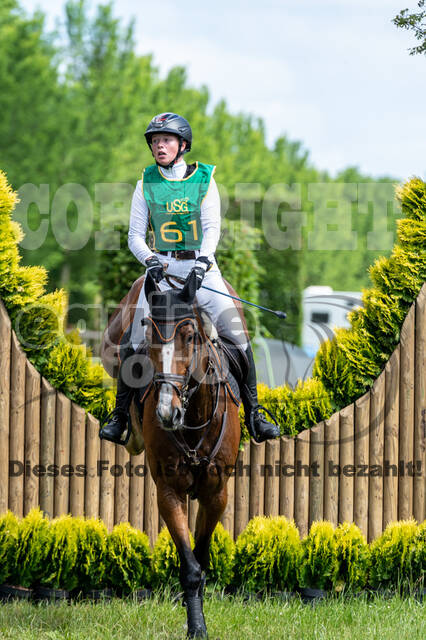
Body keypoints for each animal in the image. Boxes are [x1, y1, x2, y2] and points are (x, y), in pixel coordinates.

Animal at [103, 270, 242, 638]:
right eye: (150, 335)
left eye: (190, 336)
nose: (167, 411)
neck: (192, 417)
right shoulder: (169, 492)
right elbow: (190, 565)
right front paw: (196, 625)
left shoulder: (216, 493)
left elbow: (201, 558)